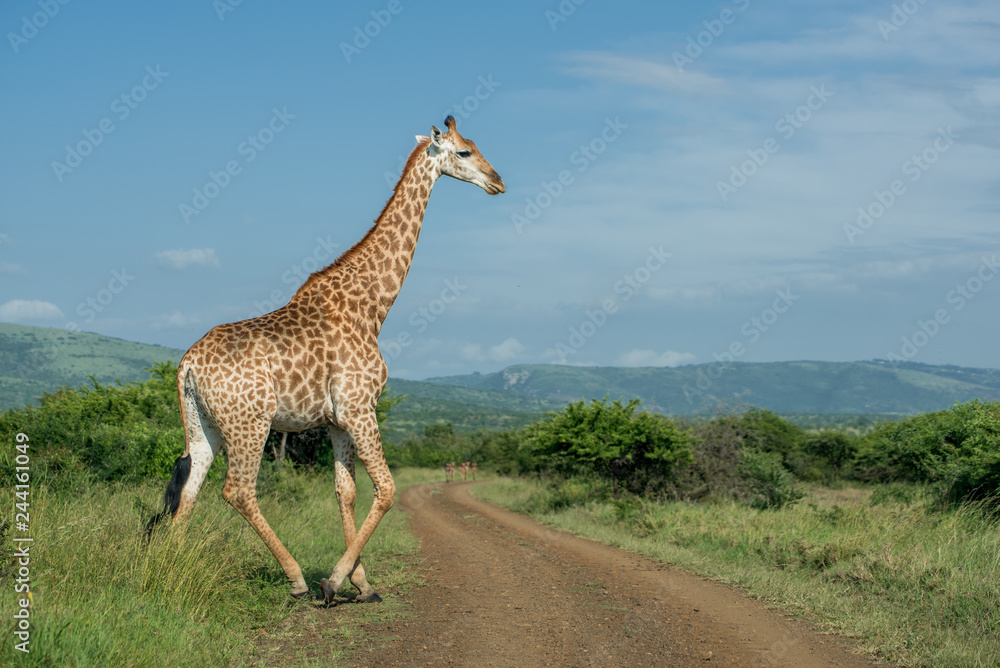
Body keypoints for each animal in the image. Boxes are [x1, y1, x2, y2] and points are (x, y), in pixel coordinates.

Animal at [146, 116, 504, 605]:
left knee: (188, 493)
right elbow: (387, 490)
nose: (497, 182)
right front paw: (335, 580)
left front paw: (362, 583)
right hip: (250, 422)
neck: (372, 305)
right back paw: (295, 577)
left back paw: (173, 573)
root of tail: (187, 366)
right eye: (465, 152)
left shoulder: (336, 419)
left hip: (204, 426)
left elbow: (344, 491)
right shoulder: (359, 407)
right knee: (238, 491)